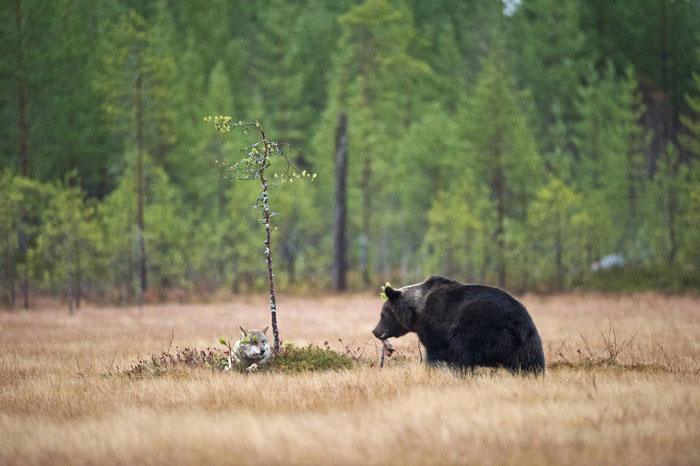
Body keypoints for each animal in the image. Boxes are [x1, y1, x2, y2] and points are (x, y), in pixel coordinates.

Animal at [372, 275, 545, 374]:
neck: (418, 311)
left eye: (382, 314)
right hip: (528, 340)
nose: (375, 331)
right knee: (530, 361)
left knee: (463, 350)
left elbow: (437, 352)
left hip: (476, 327)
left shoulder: (436, 323)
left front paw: (435, 369)